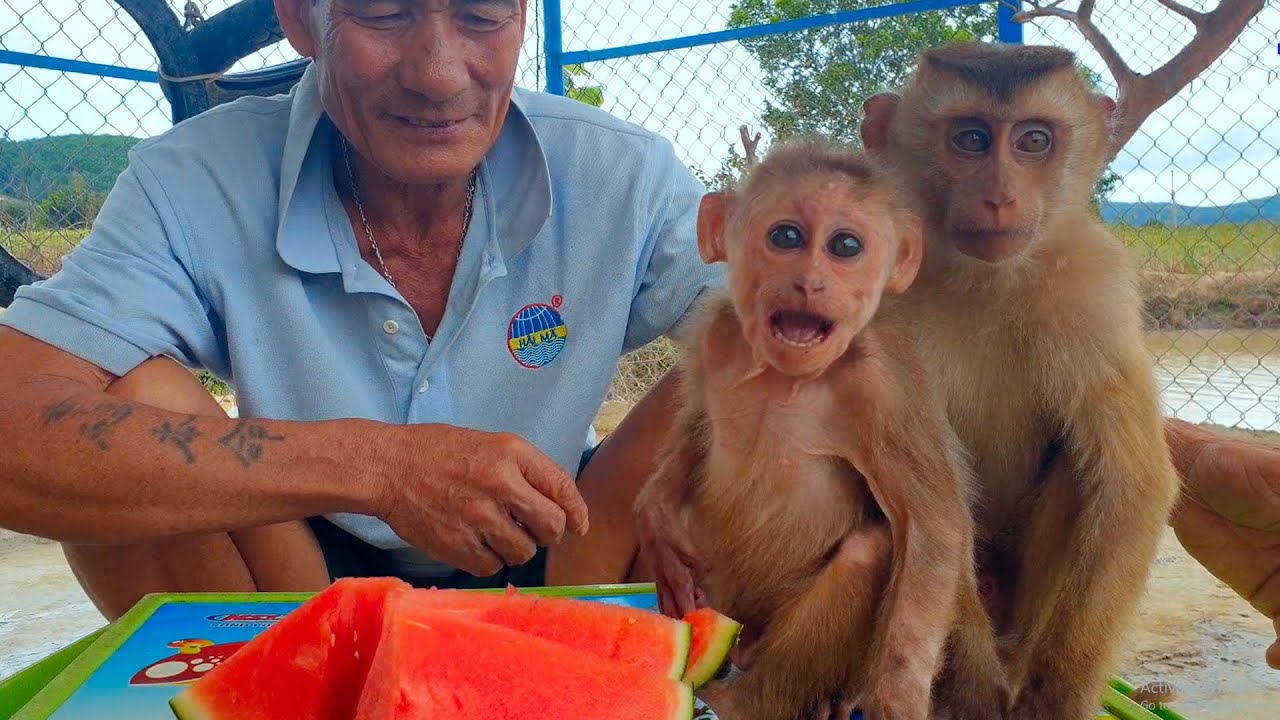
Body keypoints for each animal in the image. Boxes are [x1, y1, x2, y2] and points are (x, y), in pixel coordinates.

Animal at [633, 135, 1011, 720]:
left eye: (845, 247)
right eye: (786, 237)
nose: (811, 282)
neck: (786, 377)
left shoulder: (885, 386)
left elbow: (934, 528)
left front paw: (898, 695)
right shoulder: (718, 332)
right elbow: (696, 424)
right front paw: (655, 516)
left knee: (871, 550)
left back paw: (748, 700)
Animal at [846, 41, 1185, 719]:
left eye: (1033, 141)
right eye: (971, 139)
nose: (1001, 196)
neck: (986, 281)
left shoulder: (1097, 288)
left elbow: (1134, 484)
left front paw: (1056, 695)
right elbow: (930, 502)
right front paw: (973, 690)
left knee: (1087, 465)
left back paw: (1020, 658)